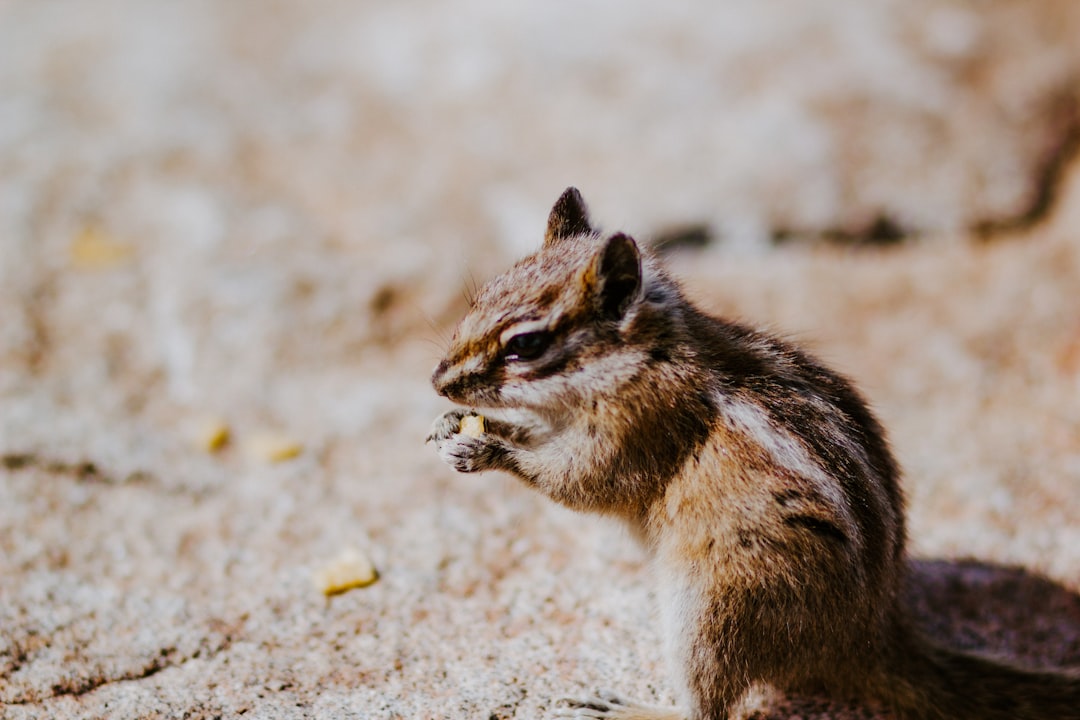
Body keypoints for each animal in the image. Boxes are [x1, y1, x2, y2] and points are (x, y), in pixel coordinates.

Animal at [427, 188, 1080, 716]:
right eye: (478, 299)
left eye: (525, 344)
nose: (438, 381)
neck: (645, 354)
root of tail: (868, 635)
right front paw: (451, 423)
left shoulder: (637, 429)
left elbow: (581, 484)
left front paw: (490, 449)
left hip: (717, 605)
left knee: (708, 708)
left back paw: (633, 709)